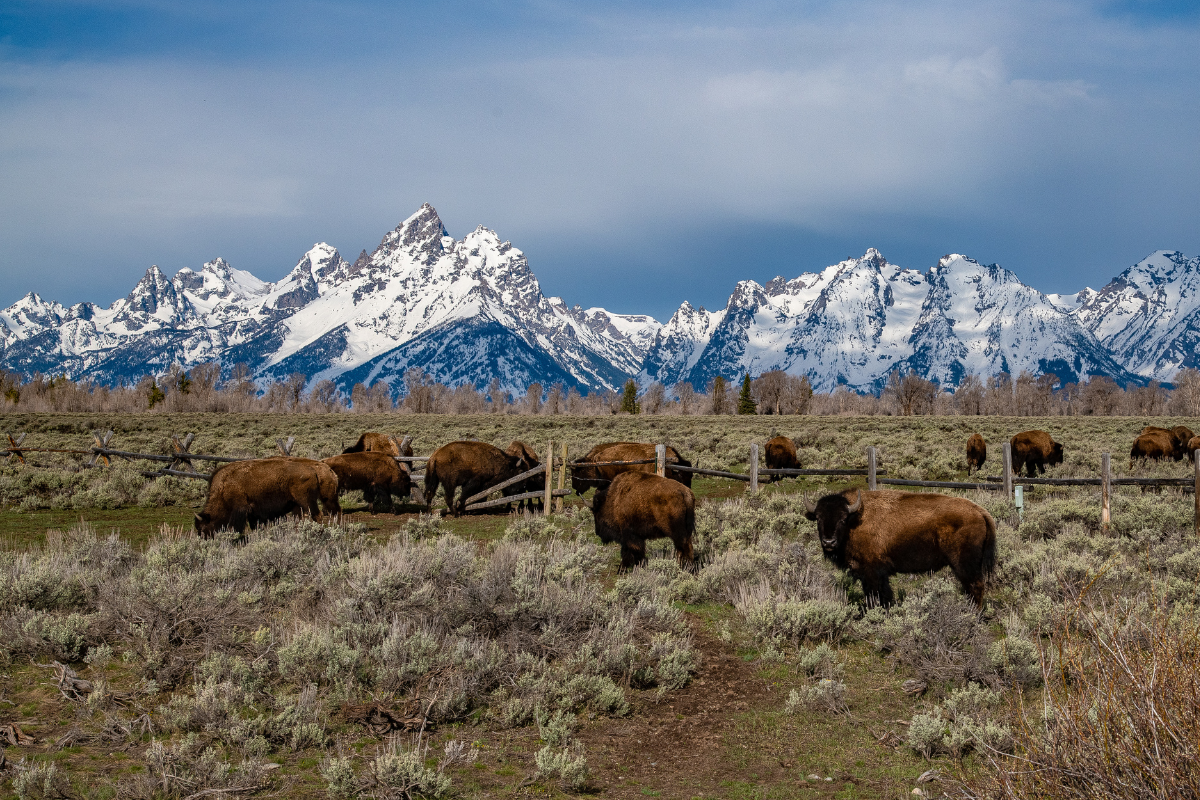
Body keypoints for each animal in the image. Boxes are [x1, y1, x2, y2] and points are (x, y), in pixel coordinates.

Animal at [194, 455, 340, 537]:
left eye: (202, 528)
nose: (204, 539)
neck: (223, 489)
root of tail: (313, 470)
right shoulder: (253, 512)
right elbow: (255, 525)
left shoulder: (240, 510)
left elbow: (237, 527)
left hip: (307, 501)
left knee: (316, 515)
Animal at [806, 489, 993, 606]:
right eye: (818, 518)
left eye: (843, 519)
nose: (829, 542)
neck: (855, 520)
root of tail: (980, 511)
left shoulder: (872, 572)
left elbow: (875, 595)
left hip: (964, 564)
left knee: (975, 586)